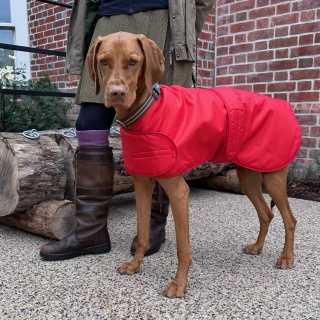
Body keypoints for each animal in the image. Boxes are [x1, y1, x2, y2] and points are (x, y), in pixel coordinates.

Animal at [85, 31, 300, 298]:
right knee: (266, 213)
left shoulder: (179, 192)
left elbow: (182, 248)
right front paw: (135, 265)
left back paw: (287, 258)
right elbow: (143, 233)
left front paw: (179, 284)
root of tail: (285, 105)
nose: (116, 93)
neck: (146, 111)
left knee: (289, 219)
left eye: (133, 62)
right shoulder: (142, 185)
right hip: (248, 176)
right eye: (103, 61)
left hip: (273, 176)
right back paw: (258, 247)